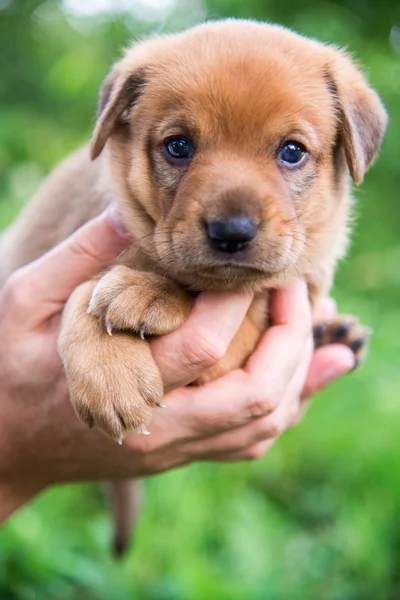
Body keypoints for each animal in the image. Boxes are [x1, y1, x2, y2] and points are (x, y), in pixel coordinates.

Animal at [0, 17, 388, 552]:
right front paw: (112, 367)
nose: (232, 232)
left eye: (292, 152)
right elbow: (88, 289)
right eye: (178, 146)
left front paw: (145, 292)